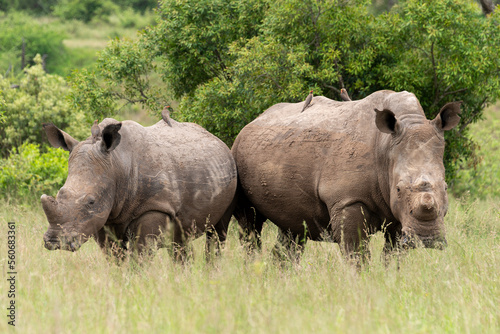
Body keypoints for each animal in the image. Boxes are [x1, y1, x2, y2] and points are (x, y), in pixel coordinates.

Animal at [41, 116, 236, 260]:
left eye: (91, 202)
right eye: (60, 194)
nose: (54, 241)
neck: (117, 164)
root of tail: (216, 139)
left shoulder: (154, 207)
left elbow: (139, 255)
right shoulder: (103, 217)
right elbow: (114, 256)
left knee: (216, 234)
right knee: (180, 239)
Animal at [233, 89, 460, 260]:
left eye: (446, 187)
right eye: (398, 189)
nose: (427, 239)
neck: (386, 147)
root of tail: (254, 119)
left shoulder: (401, 215)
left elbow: (393, 253)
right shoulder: (348, 200)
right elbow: (356, 253)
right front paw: (361, 282)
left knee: (292, 229)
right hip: (238, 152)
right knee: (250, 225)